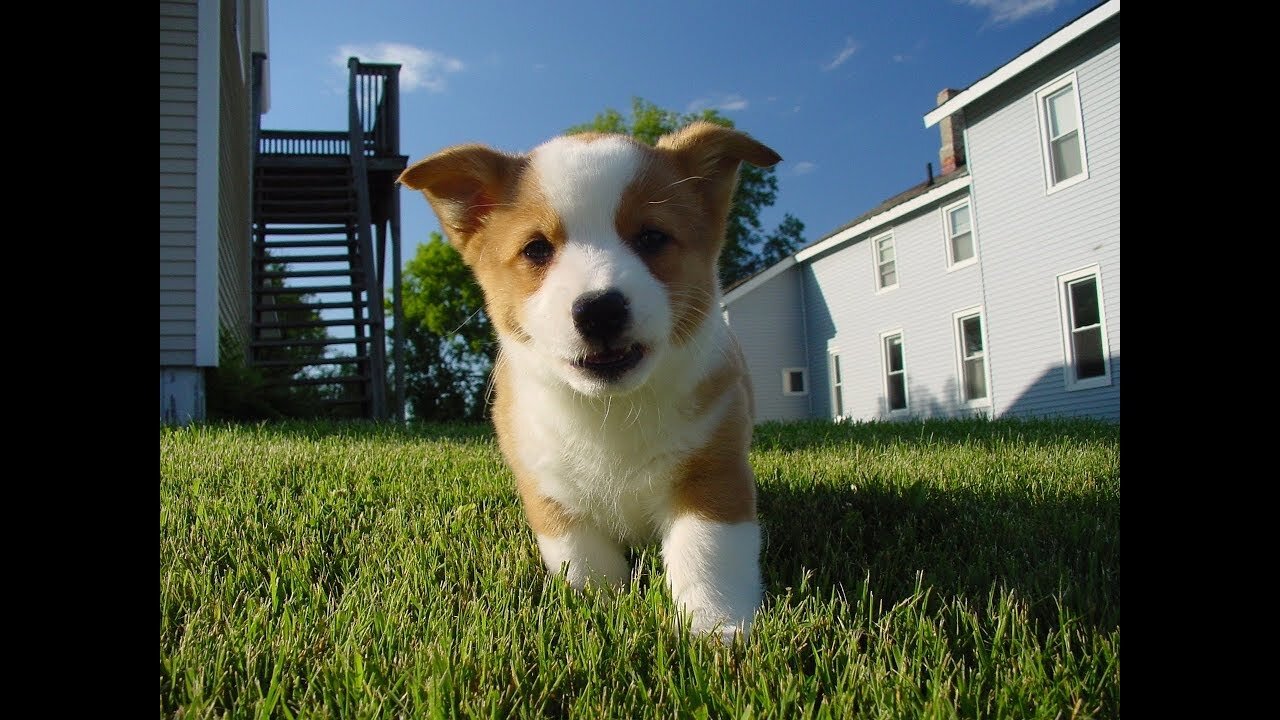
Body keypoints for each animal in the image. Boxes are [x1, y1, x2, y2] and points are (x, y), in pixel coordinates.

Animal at [399, 121, 778, 638]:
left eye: (652, 237)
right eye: (537, 249)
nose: (600, 309)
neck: (610, 409)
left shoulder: (713, 472)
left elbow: (708, 556)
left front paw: (719, 631)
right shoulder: (549, 491)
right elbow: (585, 563)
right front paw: (603, 612)